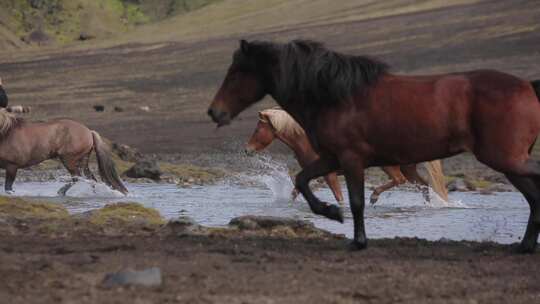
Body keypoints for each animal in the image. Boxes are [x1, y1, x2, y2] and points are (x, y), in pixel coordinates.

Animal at [0, 109, 129, 195]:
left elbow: (8, 187)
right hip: (82, 161)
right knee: (90, 179)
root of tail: (89, 131)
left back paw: (61, 191)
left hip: (69, 160)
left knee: (77, 178)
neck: (6, 133)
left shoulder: (12, 166)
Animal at [245, 108, 448, 205]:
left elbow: (339, 197)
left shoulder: (330, 175)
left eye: (257, 130)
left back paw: (374, 197)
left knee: (400, 180)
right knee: (423, 185)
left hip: (390, 166)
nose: (247, 150)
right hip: (408, 167)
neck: (307, 141)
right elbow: (296, 190)